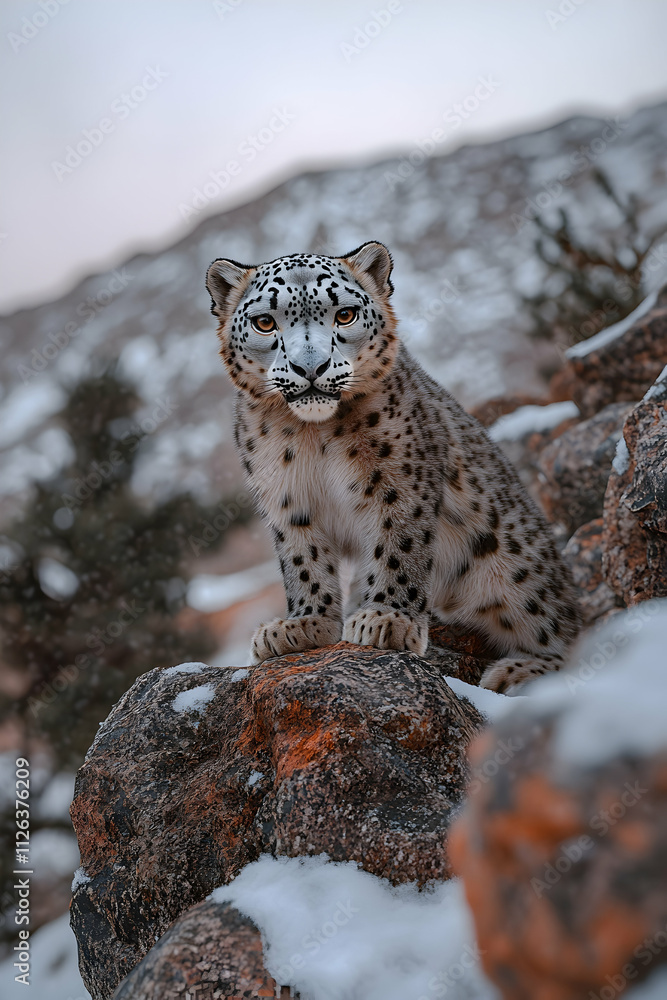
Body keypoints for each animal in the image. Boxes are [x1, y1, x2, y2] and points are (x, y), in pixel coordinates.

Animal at [205, 241, 580, 693]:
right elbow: (303, 559)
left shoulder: (401, 481)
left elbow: (398, 545)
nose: (310, 368)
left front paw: (387, 619)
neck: (314, 436)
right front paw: (304, 625)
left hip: (513, 562)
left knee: (562, 629)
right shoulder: (286, 496)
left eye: (345, 314)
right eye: (264, 322)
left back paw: (517, 672)